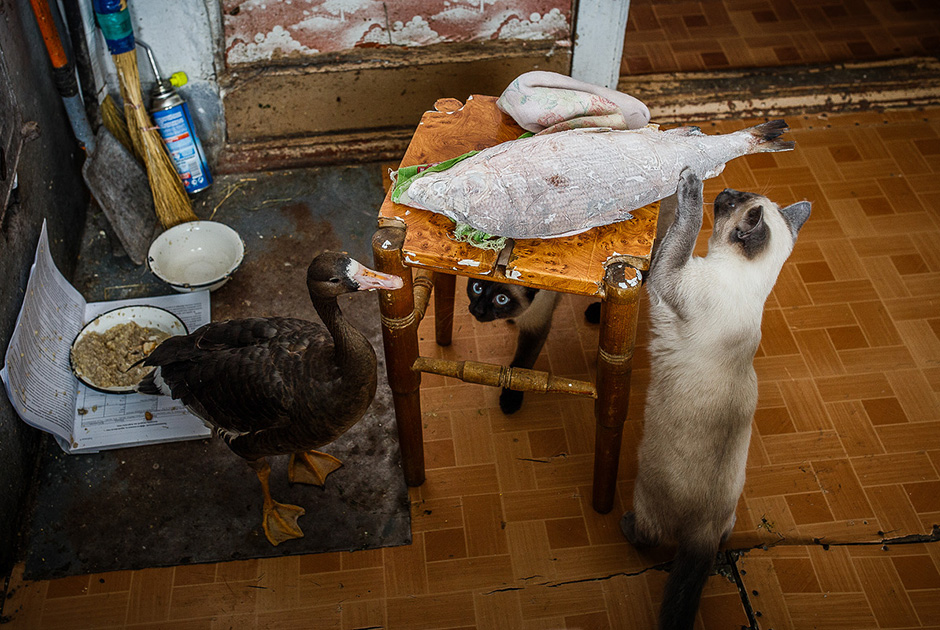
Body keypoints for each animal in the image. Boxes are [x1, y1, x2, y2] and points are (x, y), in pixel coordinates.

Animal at [620, 165, 812, 628]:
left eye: (732, 201)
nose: (724, 188)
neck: (748, 287)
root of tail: (705, 533)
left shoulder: (670, 274)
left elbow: (682, 229)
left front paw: (690, 185)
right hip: (727, 514)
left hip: (646, 495)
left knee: (649, 536)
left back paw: (624, 525)